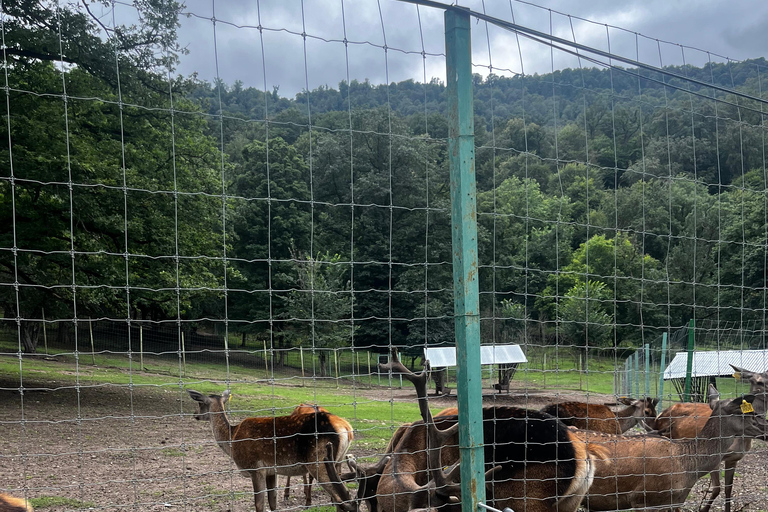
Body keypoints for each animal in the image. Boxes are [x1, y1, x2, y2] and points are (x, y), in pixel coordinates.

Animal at [186, 388, 354, 512]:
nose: (195, 415)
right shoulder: (271, 471)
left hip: (319, 462)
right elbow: (273, 503)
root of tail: (346, 429)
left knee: (343, 498)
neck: (232, 438)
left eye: (200, 403)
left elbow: (259, 504)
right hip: (336, 461)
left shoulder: (256, 468)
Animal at [652, 366, 768, 512]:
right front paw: (703, 509)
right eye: (759, 382)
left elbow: (728, 489)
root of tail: (660, 413)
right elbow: (717, 488)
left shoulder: (734, 458)